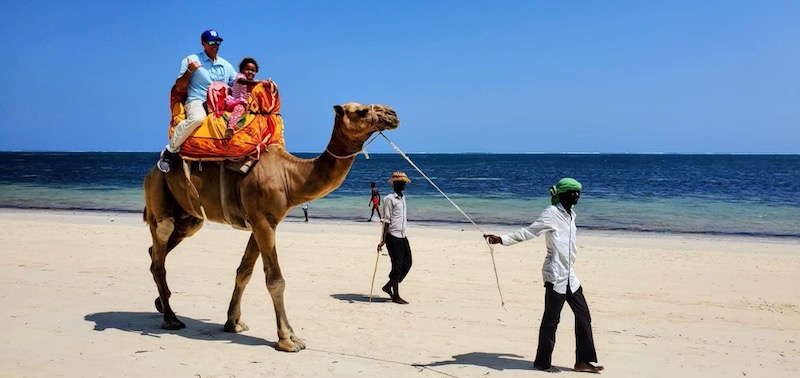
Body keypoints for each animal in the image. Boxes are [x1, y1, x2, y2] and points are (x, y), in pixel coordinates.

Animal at [143, 102, 400, 352]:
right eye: (362, 111)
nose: (393, 114)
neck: (290, 176)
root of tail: (152, 170)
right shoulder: (263, 221)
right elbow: (275, 281)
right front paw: (288, 339)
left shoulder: (262, 221)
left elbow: (244, 272)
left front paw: (233, 323)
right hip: (159, 194)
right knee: (161, 246)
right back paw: (170, 318)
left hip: (189, 217)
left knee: (158, 249)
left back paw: (161, 303)